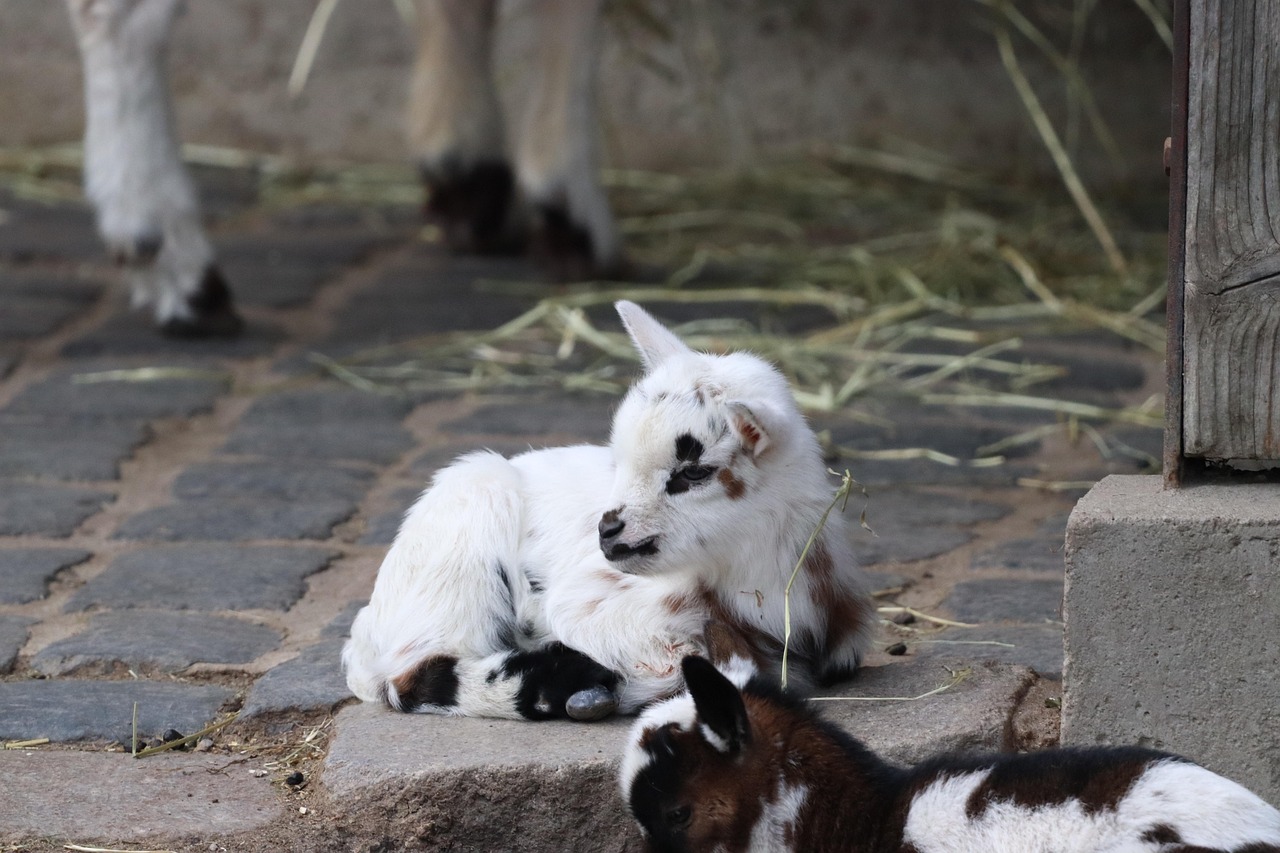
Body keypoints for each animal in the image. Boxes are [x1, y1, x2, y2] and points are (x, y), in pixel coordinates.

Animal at [342, 301, 875, 721]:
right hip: (463, 534)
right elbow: (673, 659)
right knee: (410, 675)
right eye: (617, 460)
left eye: (693, 473)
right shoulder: (589, 604)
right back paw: (565, 681)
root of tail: (368, 627)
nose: (607, 531)